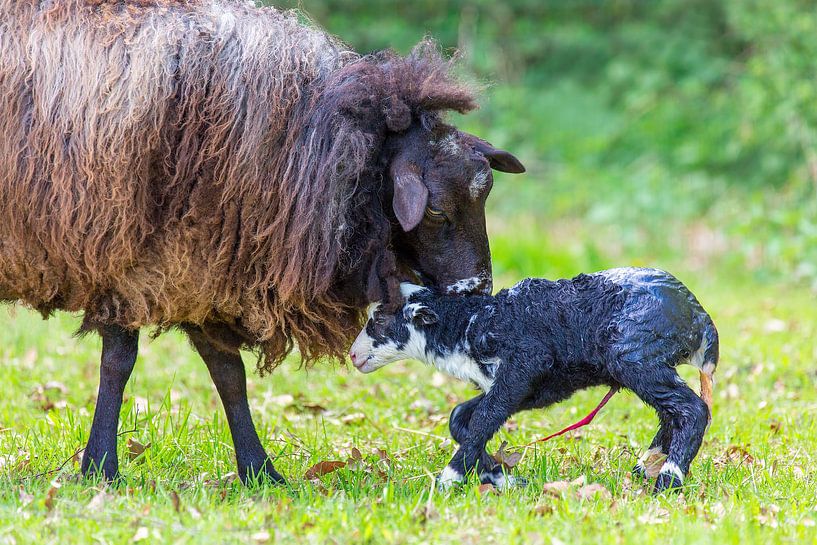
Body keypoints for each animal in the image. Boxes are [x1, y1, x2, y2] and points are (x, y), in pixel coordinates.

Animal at [0, 0, 525, 483]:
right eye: (435, 210)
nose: (478, 289)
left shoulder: (197, 263)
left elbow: (228, 372)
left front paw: (260, 472)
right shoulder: (127, 260)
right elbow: (118, 363)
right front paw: (101, 468)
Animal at [350, 268, 719, 493]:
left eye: (379, 320)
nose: (353, 355)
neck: (471, 323)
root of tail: (698, 316)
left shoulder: (523, 366)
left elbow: (483, 419)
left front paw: (450, 477)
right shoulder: (529, 388)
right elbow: (463, 418)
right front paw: (498, 476)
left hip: (633, 356)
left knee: (692, 409)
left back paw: (669, 478)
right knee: (671, 412)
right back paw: (648, 465)